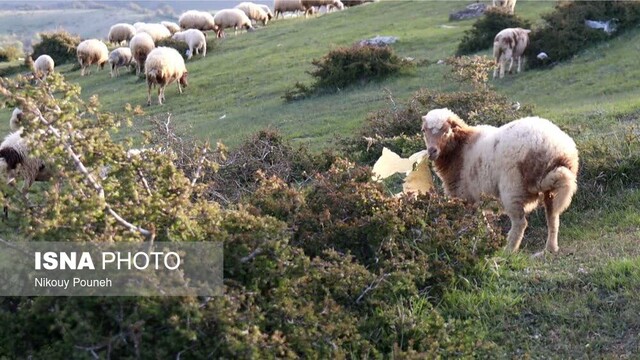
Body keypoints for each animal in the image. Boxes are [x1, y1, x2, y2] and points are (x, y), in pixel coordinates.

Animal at [422, 108, 576, 258]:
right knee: (553, 218)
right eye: (424, 130)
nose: (432, 151)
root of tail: (555, 149)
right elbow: (482, 221)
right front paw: (489, 238)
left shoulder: (466, 196)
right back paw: (549, 250)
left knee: (520, 223)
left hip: (512, 189)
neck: (459, 150)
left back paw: (508, 251)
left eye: (446, 131)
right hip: (550, 190)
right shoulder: (476, 198)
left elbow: (470, 222)